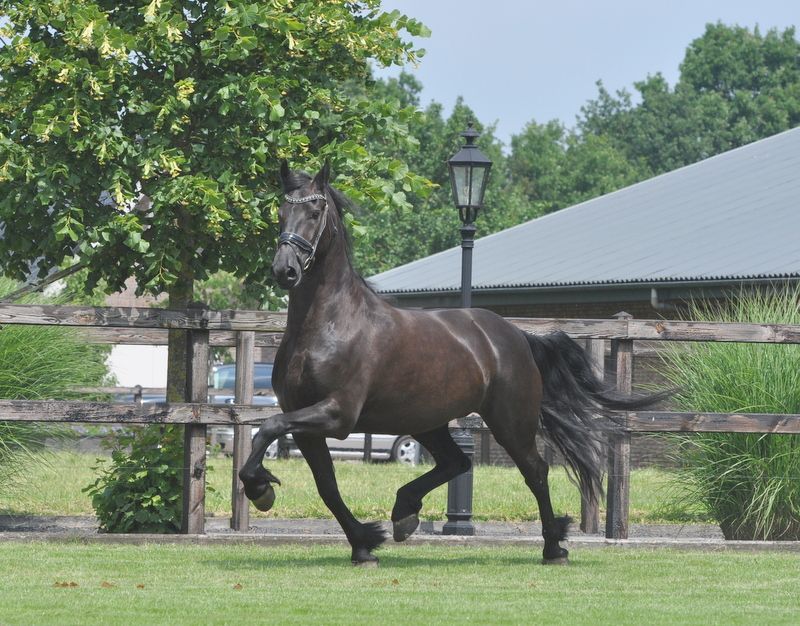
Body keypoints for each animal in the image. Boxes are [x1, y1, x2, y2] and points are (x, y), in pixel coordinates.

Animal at [239, 161, 660, 566]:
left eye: (315, 211)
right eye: (279, 213)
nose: (285, 270)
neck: (327, 325)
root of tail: (516, 336)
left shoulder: (337, 414)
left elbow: (268, 428)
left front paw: (260, 489)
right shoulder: (306, 423)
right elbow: (325, 484)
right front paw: (363, 545)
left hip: (510, 421)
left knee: (534, 471)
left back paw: (554, 548)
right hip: (426, 422)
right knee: (456, 462)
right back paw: (404, 512)